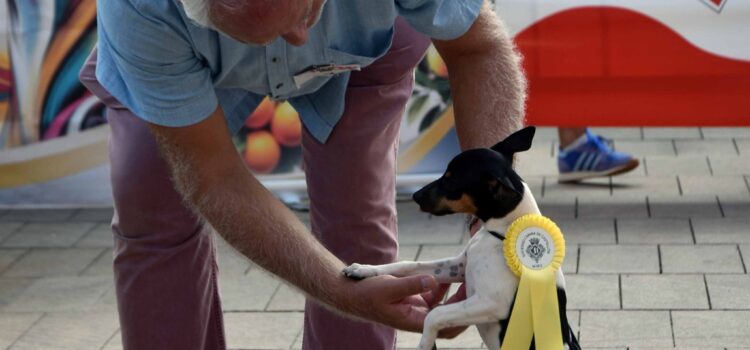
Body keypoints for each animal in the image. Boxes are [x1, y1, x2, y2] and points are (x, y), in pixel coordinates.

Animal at [344, 126, 584, 350]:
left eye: (450, 181)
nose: (415, 196)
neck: (500, 235)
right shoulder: (458, 267)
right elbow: (407, 265)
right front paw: (363, 269)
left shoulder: (493, 302)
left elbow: (434, 315)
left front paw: (424, 344)